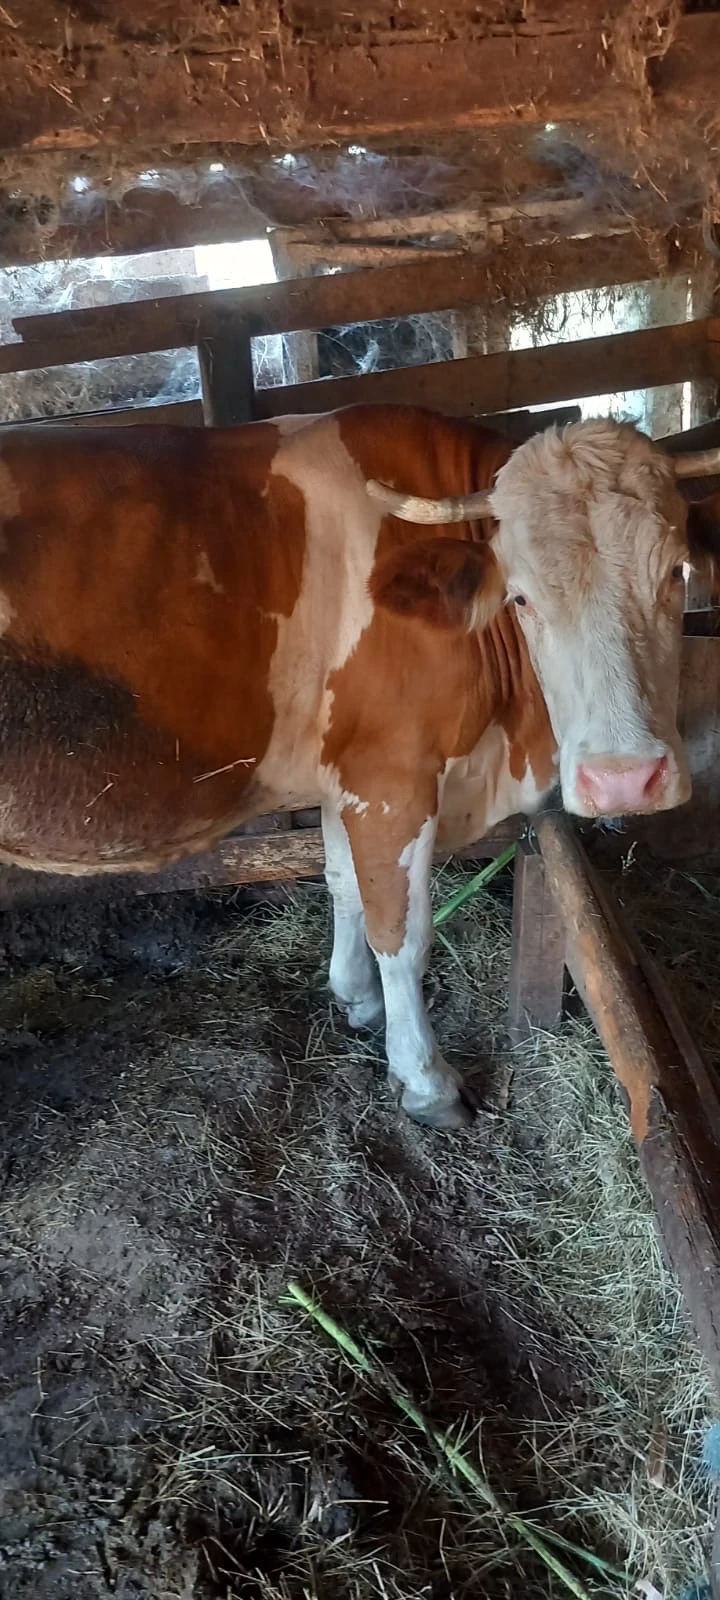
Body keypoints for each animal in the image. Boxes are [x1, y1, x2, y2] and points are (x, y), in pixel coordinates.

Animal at [0, 404, 718, 1129]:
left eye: (676, 573)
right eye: (521, 598)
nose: (625, 778)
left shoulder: (346, 775)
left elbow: (344, 884)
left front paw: (355, 998)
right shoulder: (392, 778)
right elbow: (400, 930)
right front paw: (425, 1079)